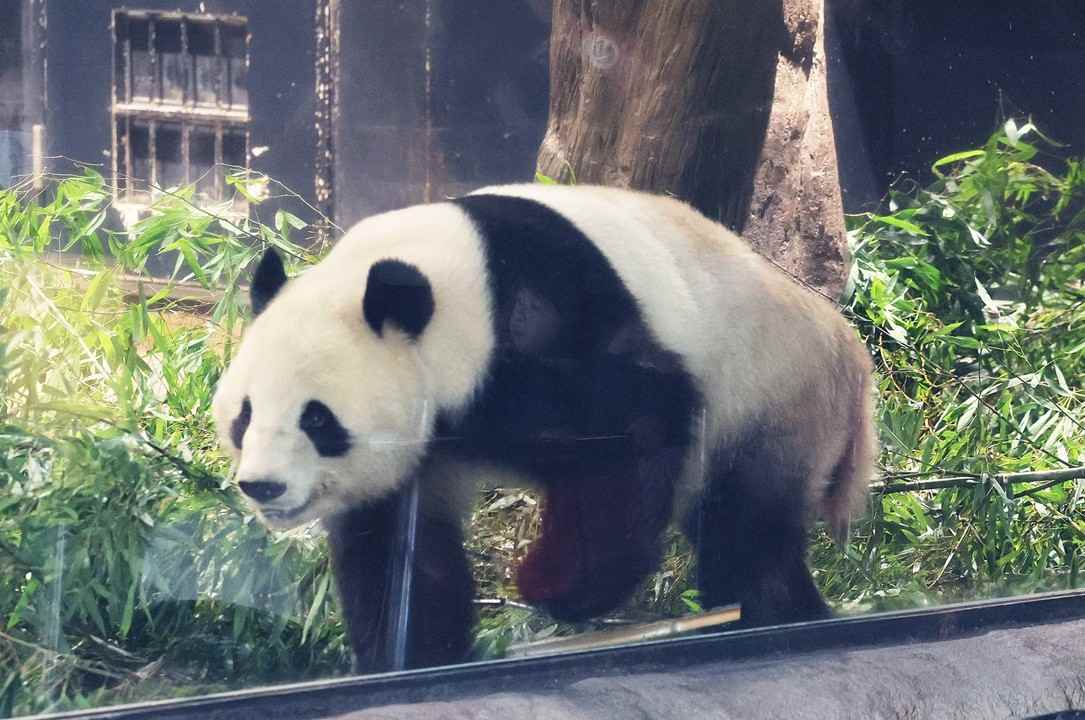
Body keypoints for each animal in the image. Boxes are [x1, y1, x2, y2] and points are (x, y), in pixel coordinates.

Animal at [211, 184, 876, 672]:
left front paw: (552, 588)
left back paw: (771, 617)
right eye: (245, 415)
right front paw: (414, 654)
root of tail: (850, 353)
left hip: (769, 394)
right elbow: (394, 554)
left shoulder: (538, 331)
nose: (263, 487)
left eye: (317, 418)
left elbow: (637, 427)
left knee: (744, 531)